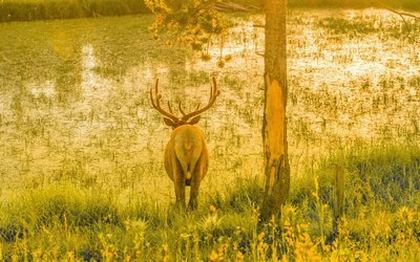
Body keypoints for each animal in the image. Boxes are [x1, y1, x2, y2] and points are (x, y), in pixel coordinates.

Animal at [149, 77, 220, 210]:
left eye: (172, 127)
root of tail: (187, 140)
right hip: (199, 163)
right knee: (193, 196)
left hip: (177, 165)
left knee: (181, 196)